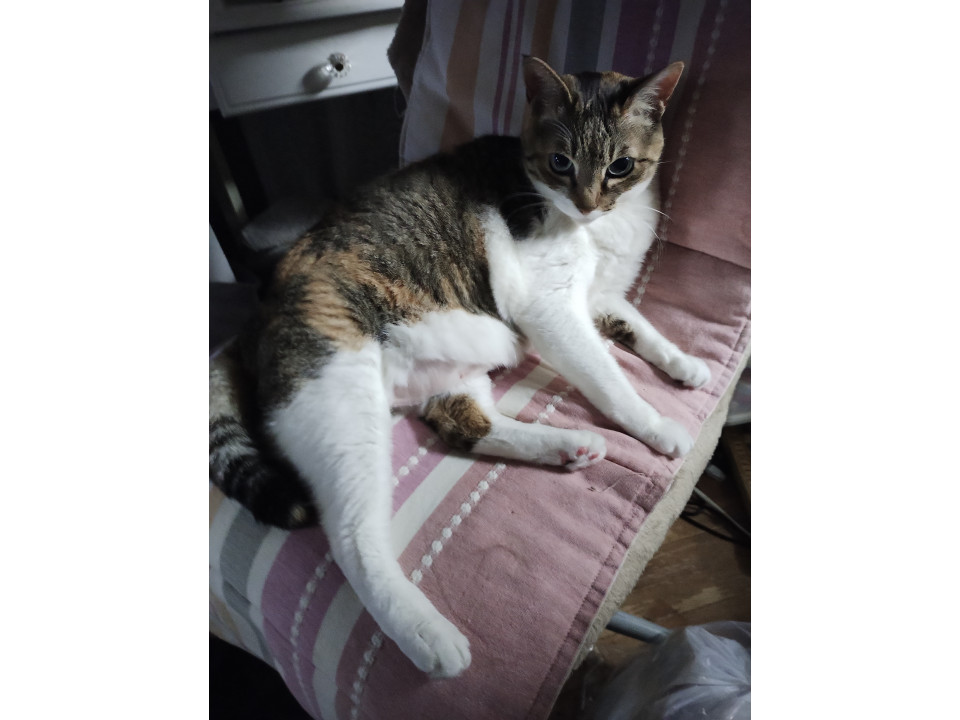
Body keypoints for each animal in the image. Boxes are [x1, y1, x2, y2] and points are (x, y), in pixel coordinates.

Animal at [209, 56, 710, 678]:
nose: (588, 204)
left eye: (620, 166)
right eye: (560, 163)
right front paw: (656, 424)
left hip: (455, 371)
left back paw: (566, 445)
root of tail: (253, 322)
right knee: (352, 539)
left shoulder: (601, 298)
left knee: (466, 424)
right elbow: (608, 378)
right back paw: (429, 635)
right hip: (342, 402)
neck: (600, 230)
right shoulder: (550, 308)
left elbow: (639, 327)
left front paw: (685, 364)